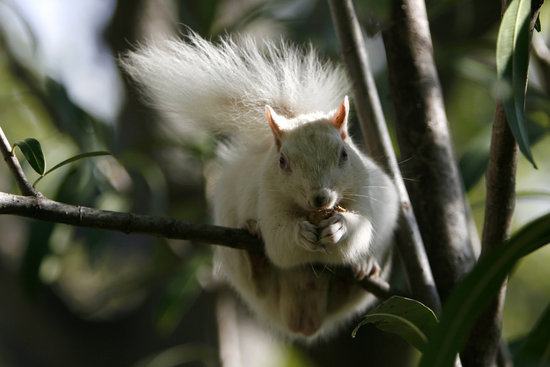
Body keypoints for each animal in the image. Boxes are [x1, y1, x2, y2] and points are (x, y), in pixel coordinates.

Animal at [123, 33, 402, 340]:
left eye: (344, 154)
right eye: (282, 162)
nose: (321, 198)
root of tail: (302, 320)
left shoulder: (362, 191)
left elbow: (360, 229)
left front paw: (340, 226)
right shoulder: (267, 198)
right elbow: (280, 243)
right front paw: (298, 233)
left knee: (346, 295)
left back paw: (365, 268)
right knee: (260, 285)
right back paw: (255, 255)